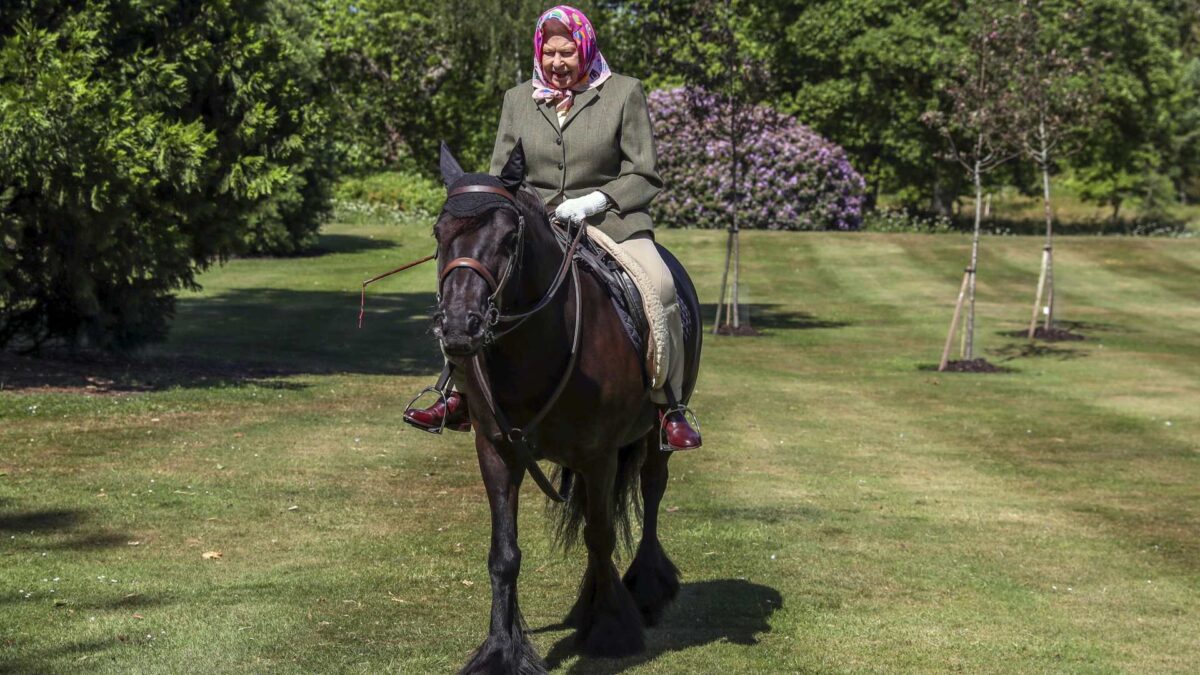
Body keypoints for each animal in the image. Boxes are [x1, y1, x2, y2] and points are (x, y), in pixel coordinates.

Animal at [434, 140, 700, 667]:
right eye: (439, 232)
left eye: (509, 237)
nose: (458, 327)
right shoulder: (496, 450)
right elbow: (505, 553)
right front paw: (501, 650)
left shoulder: (599, 455)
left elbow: (600, 535)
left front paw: (611, 630)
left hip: (654, 439)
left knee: (651, 495)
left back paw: (643, 590)